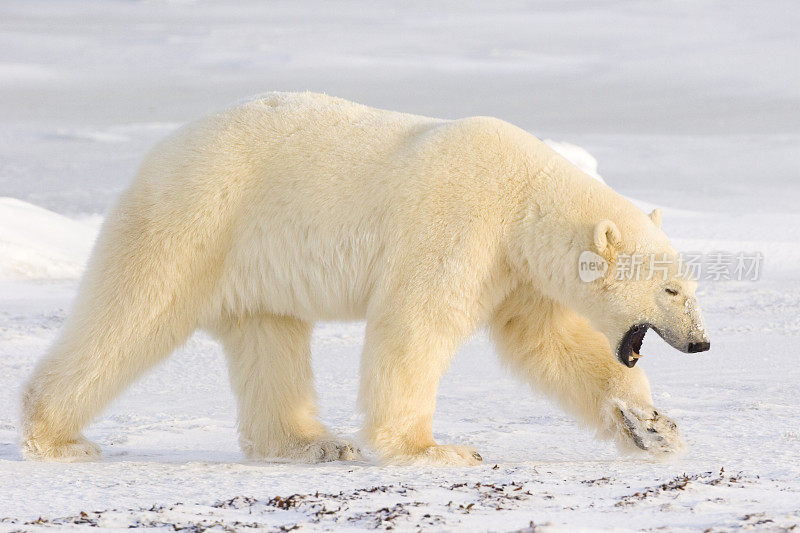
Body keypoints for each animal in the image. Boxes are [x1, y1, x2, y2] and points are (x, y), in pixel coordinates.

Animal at [18, 93, 708, 464]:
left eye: (690, 286)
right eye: (670, 289)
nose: (701, 343)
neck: (525, 196)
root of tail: (156, 154)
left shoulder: (514, 269)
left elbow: (546, 343)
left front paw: (653, 427)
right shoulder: (460, 221)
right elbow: (417, 323)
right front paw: (434, 450)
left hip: (254, 266)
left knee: (270, 342)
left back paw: (313, 444)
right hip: (197, 221)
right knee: (130, 314)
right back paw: (56, 437)